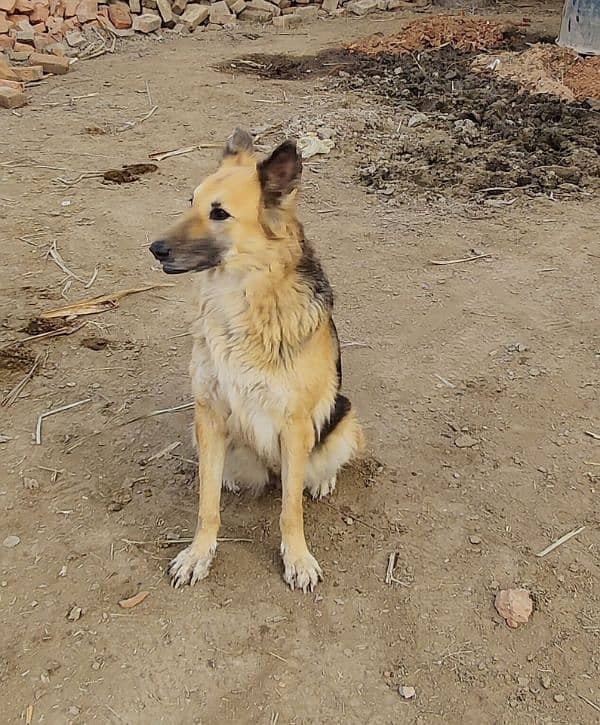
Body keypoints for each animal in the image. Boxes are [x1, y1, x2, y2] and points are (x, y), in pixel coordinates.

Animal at [152, 127, 364, 592]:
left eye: (219, 213)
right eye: (190, 201)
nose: (154, 248)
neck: (242, 297)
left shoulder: (294, 424)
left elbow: (290, 511)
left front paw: (297, 558)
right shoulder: (208, 414)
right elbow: (206, 504)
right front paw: (199, 553)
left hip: (343, 417)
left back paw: (322, 481)